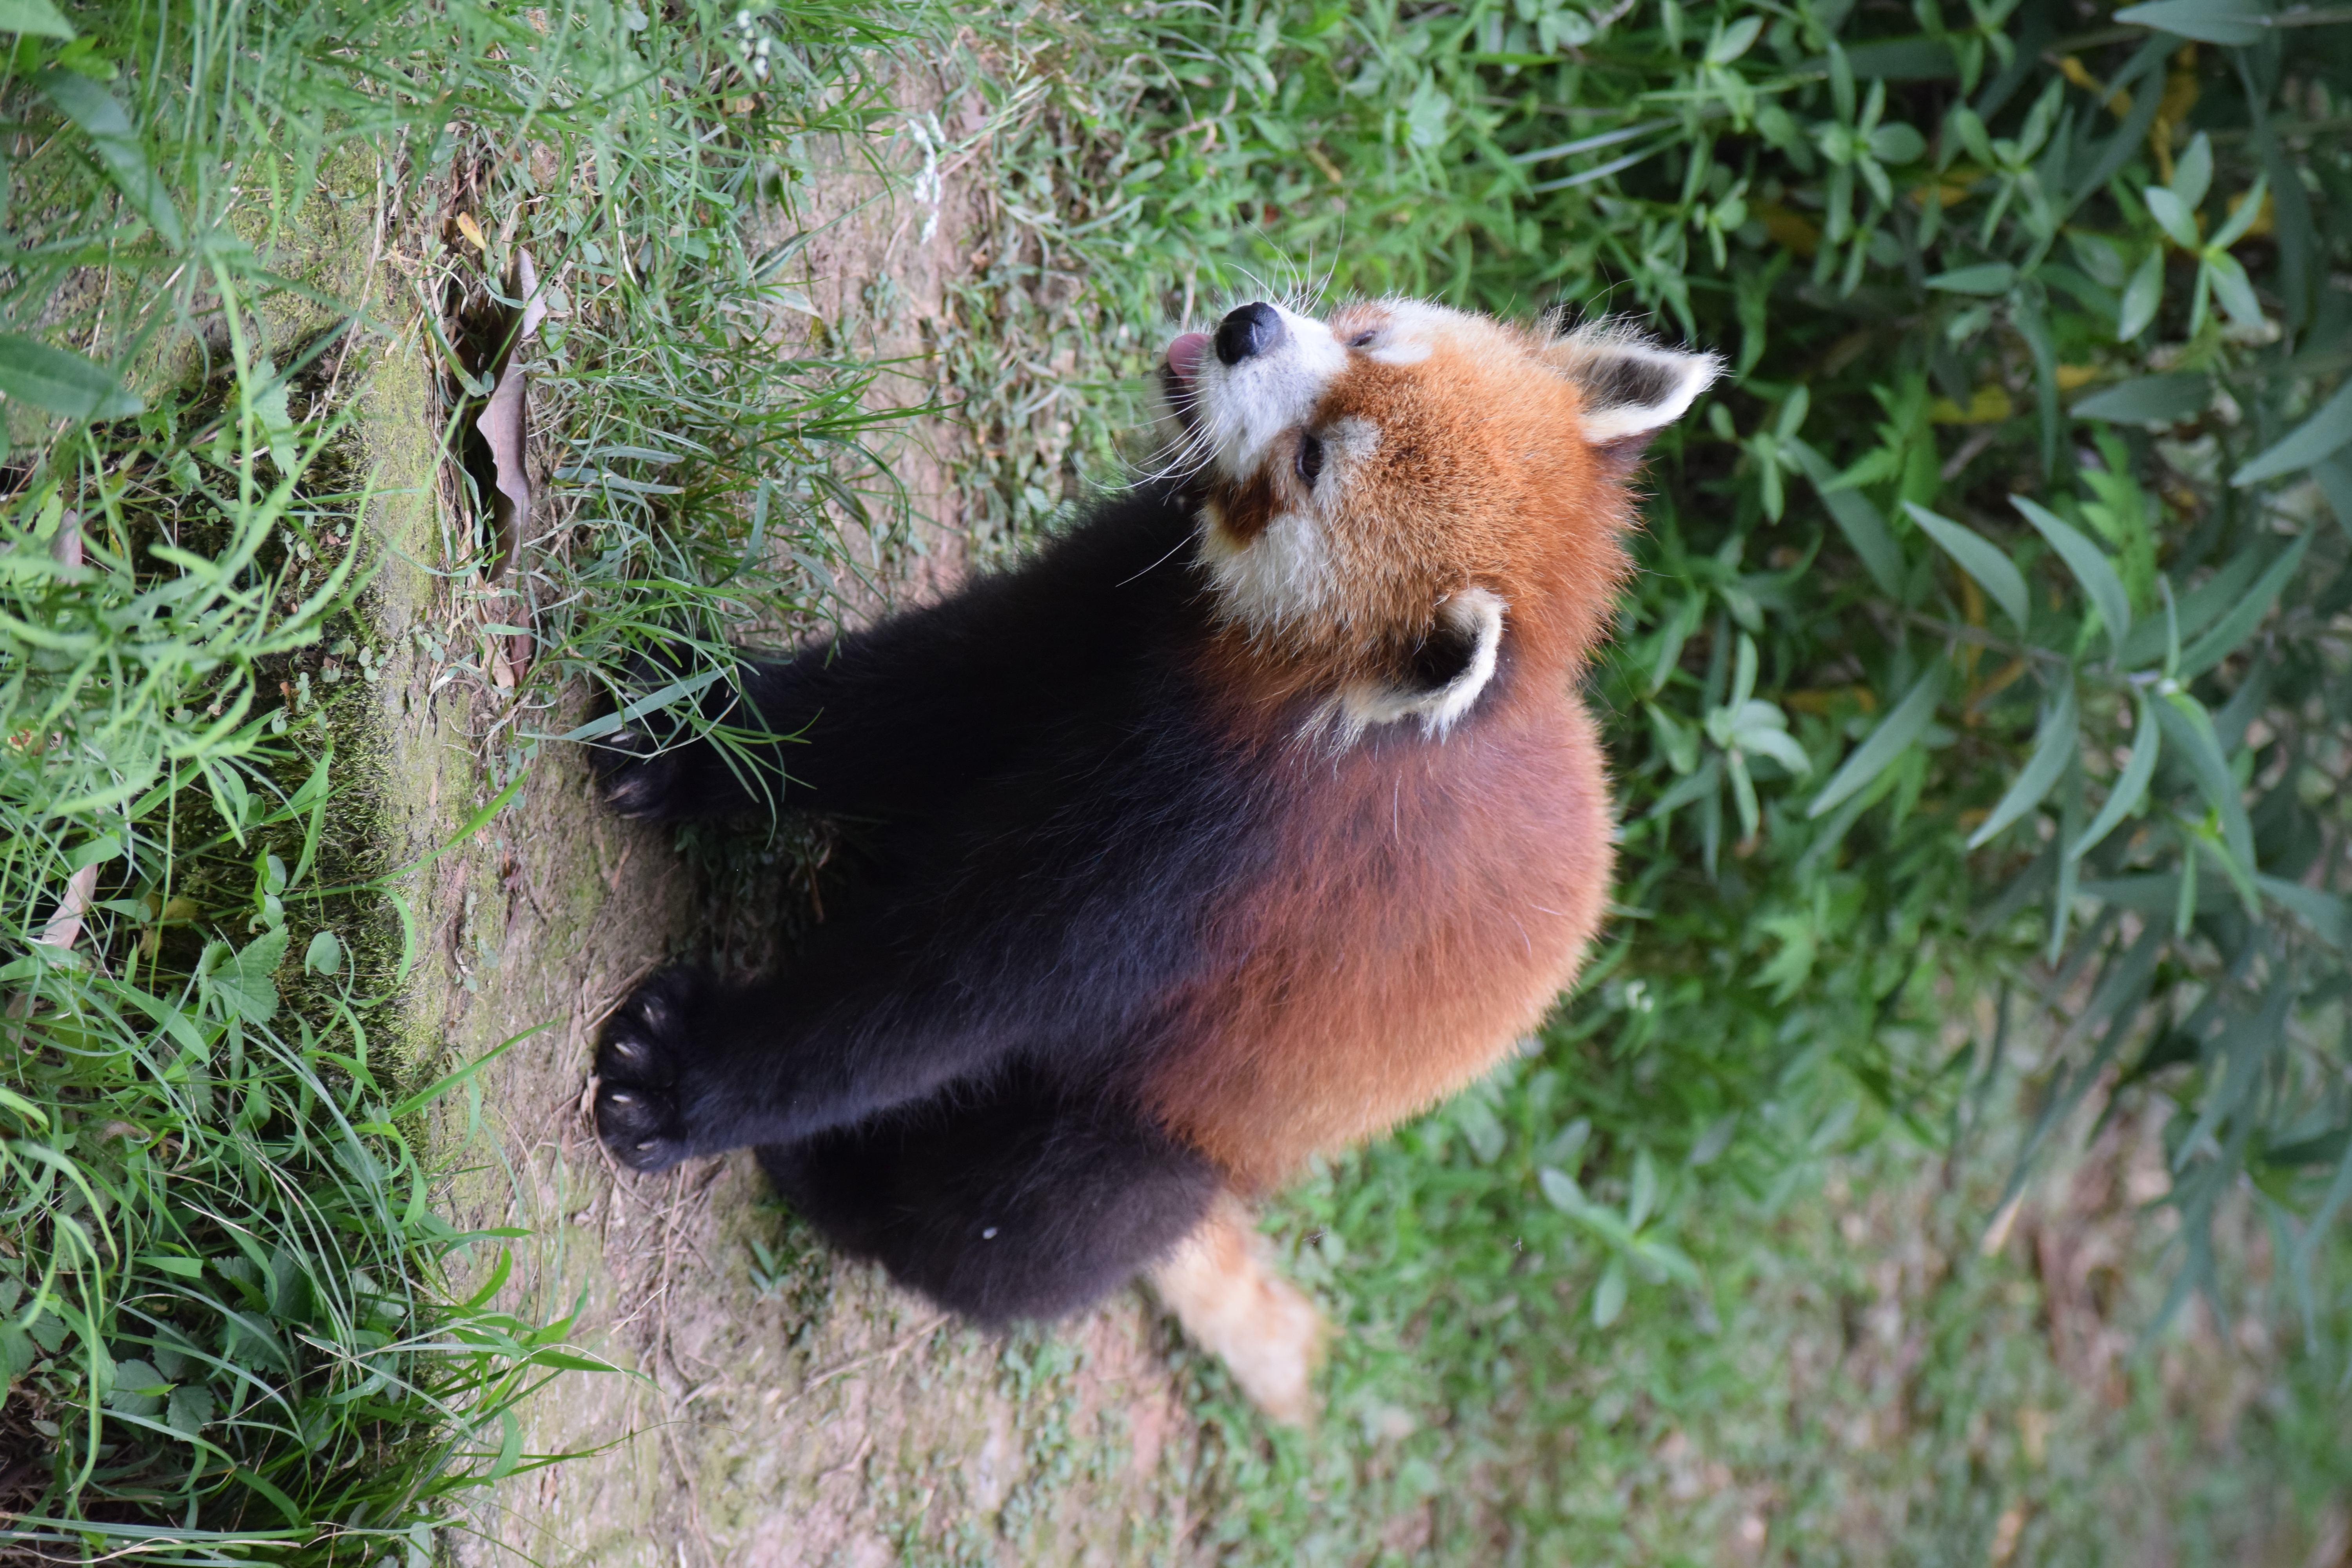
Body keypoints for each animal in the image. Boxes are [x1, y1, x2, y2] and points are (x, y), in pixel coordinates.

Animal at [587, 297, 1720, 1421]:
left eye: (1310, 463)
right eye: (1366, 338)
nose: (1246, 327)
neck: (1260, 678)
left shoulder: (1217, 855)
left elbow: (946, 995)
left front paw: (684, 1078)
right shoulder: (1116, 595)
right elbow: (908, 693)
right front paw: (684, 735)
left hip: (1165, 1133)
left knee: (1024, 1216)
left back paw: (837, 1184)